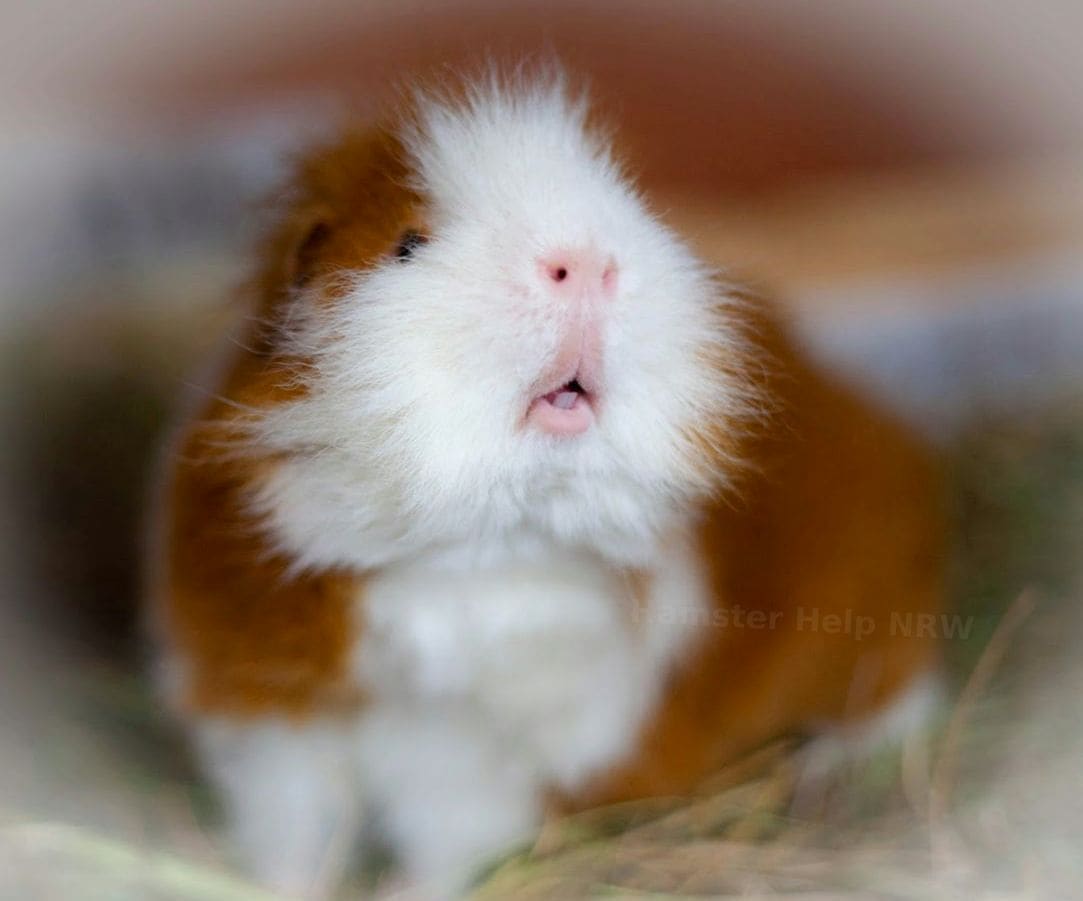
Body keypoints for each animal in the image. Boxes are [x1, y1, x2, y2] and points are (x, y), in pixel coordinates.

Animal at [147, 69, 945, 897]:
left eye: (621, 206)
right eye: (407, 244)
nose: (584, 262)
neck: (479, 546)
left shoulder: (478, 768)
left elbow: (441, 850)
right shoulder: (273, 723)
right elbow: (295, 837)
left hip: (865, 638)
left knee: (902, 697)